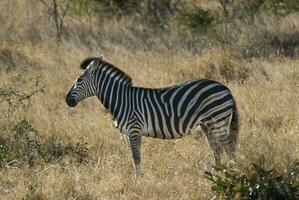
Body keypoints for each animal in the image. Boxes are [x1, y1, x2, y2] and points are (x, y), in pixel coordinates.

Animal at [65, 56, 239, 177]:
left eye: (79, 80)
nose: (67, 100)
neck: (121, 100)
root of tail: (225, 87)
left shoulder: (134, 130)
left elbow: (136, 156)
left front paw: (138, 180)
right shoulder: (128, 134)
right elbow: (133, 157)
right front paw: (137, 178)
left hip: (218, 119)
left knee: (229, 147)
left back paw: (230, 175)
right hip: (207, 124)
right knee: (216, 149)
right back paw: (215, 174)